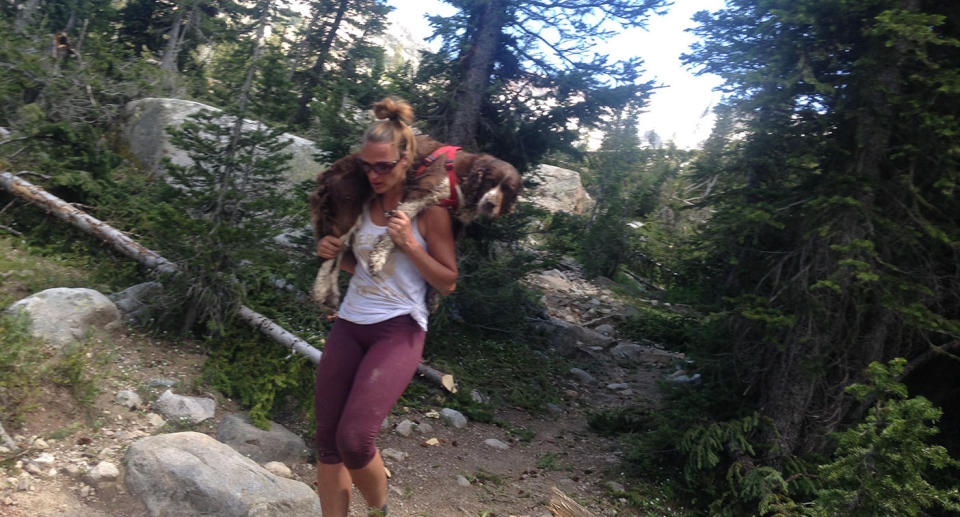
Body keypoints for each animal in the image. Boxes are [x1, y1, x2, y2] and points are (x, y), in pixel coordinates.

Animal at [308, 134, 520, 310]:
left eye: (507, 190)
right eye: (490, 182)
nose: (491, 204)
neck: (464, 177)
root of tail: (328, 173)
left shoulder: (454, 220)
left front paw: (432, 297)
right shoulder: (423, 189)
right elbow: (395, 227)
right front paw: (377, 259)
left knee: (338, 254)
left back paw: (331, 295)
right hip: (347, 210)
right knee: (329, 256)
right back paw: (320, 291)